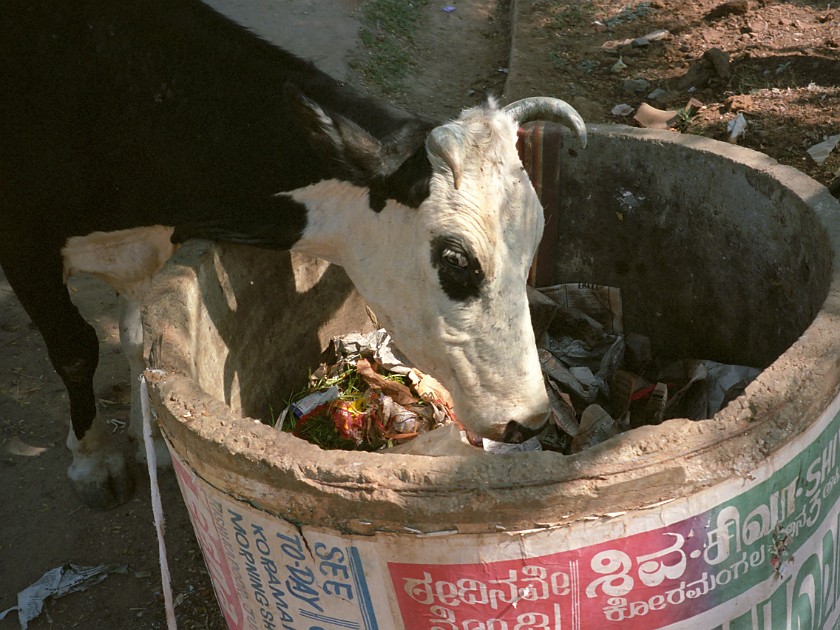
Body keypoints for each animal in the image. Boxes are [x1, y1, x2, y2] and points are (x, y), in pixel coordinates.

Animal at [0, 0, 588, 512]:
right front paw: (94, 459)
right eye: (456, 260)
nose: (530, 419)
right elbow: (76, 348)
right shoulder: (24, 247)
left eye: (533, 243)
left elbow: (139, 338)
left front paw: (157, 446)